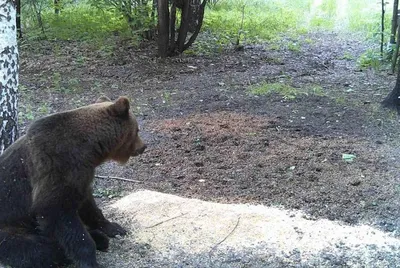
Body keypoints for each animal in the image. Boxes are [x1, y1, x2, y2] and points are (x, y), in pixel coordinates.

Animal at [0, 96, 146, 268]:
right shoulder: (57, 164)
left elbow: (88, 203)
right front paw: (90, 260)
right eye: (137, 130)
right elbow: (56, 210)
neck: (89, 149)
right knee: (35, 249)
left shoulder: (81, 175)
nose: (143, 146)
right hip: (10, 226)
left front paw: (114, 227)